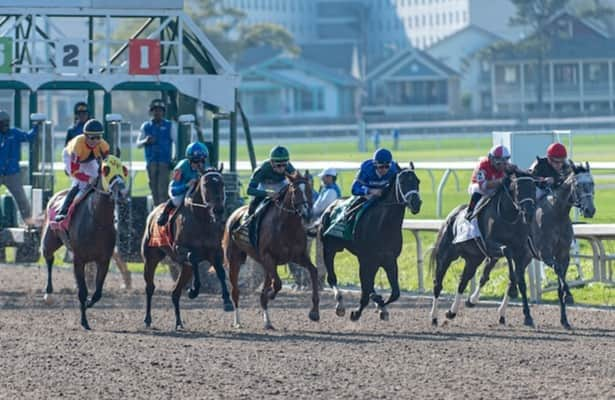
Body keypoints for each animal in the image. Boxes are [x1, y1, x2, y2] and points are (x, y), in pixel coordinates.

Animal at [41, 156, 130, 332]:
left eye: (123, 170)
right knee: (49, 259)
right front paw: (84, 321)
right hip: (49, 241)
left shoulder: (103, 260)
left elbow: (98, 292)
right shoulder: (79, 260)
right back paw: (49, 294)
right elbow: (82, 292)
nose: (122, 192)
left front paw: (89, 304)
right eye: (106, 169)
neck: (97, 221)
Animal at [142, 167, 233, 330]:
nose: (218, 210)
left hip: (184, 268)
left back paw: (179, 322)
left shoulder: (215, 252)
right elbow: (193, 258)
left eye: (222, 183)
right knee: (150, 287)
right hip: (151, 258)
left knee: (175, 293)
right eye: (205, 184)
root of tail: (153, 213)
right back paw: (147, 319)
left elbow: (221, 273)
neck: (201, 220)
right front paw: (193, 290)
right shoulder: (180, 249)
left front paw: (227, 301)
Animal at [224, 173, 318, 330]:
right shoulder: (268, 257)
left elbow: (314, 271)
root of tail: (234, 214)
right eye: (295, 191)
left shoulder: (298, 257)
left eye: (310, 190)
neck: (286, 226)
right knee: (235, 291)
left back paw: (267, 322)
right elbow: (277, 284)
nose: (307, 214)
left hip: (264, 265)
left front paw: (314, 312)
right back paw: (237, 322)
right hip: (235, 260)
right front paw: (271, 295)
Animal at [320, 164, 422, 324]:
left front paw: (380, 306)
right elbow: (366, 290)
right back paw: (340, 305)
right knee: (332, 278)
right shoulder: (367, 259)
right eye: (403, 181)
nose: (416, 203)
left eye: (417, 181)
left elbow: (395, 293)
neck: (383, 225)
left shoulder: (389, 260)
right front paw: (356, 312)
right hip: (329, 248)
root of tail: (332, 205)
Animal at [430, 171, 536, 324]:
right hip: (445, 256)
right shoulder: (490, 245)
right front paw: (513, 291)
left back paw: (451, 312)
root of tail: (451, 216)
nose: (529, 213)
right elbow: (507, 251)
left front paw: (527, 316)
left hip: (473, 259)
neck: (508, 217)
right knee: (438, 283)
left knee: (462, 282)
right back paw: (433, 317)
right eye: (518, 189)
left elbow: (521, 282)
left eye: (534, 187)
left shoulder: (521, 253)